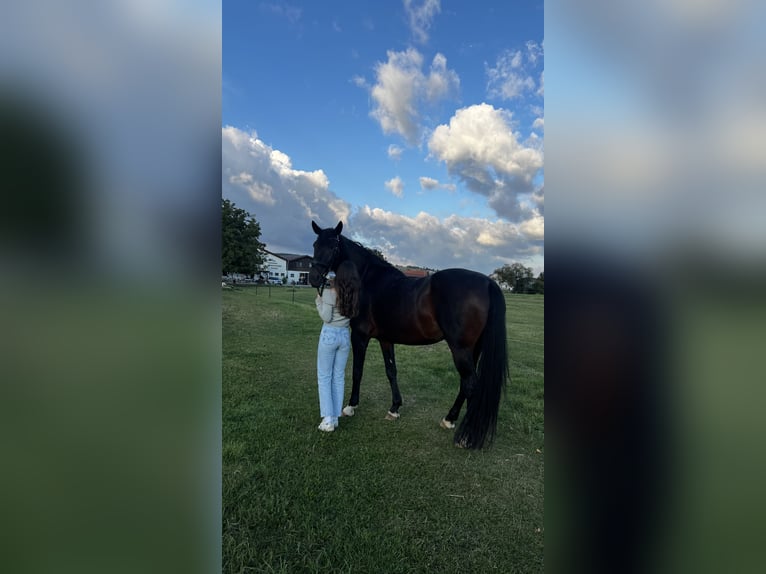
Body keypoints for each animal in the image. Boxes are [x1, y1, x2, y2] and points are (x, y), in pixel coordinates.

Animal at [306, 220, 510, 450]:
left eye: (333, 247)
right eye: (315, 244)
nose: (313, 278)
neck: (367, 280)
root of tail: (487, 283)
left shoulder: (360, 336)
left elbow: (357, 370)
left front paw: (351, 406)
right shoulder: (386, 339)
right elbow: (391, 371)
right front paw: (394, 408)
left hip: (460, 349)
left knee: (470, 385)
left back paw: (465, 436)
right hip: (472, 349)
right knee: (465, 385)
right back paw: (449, 419)